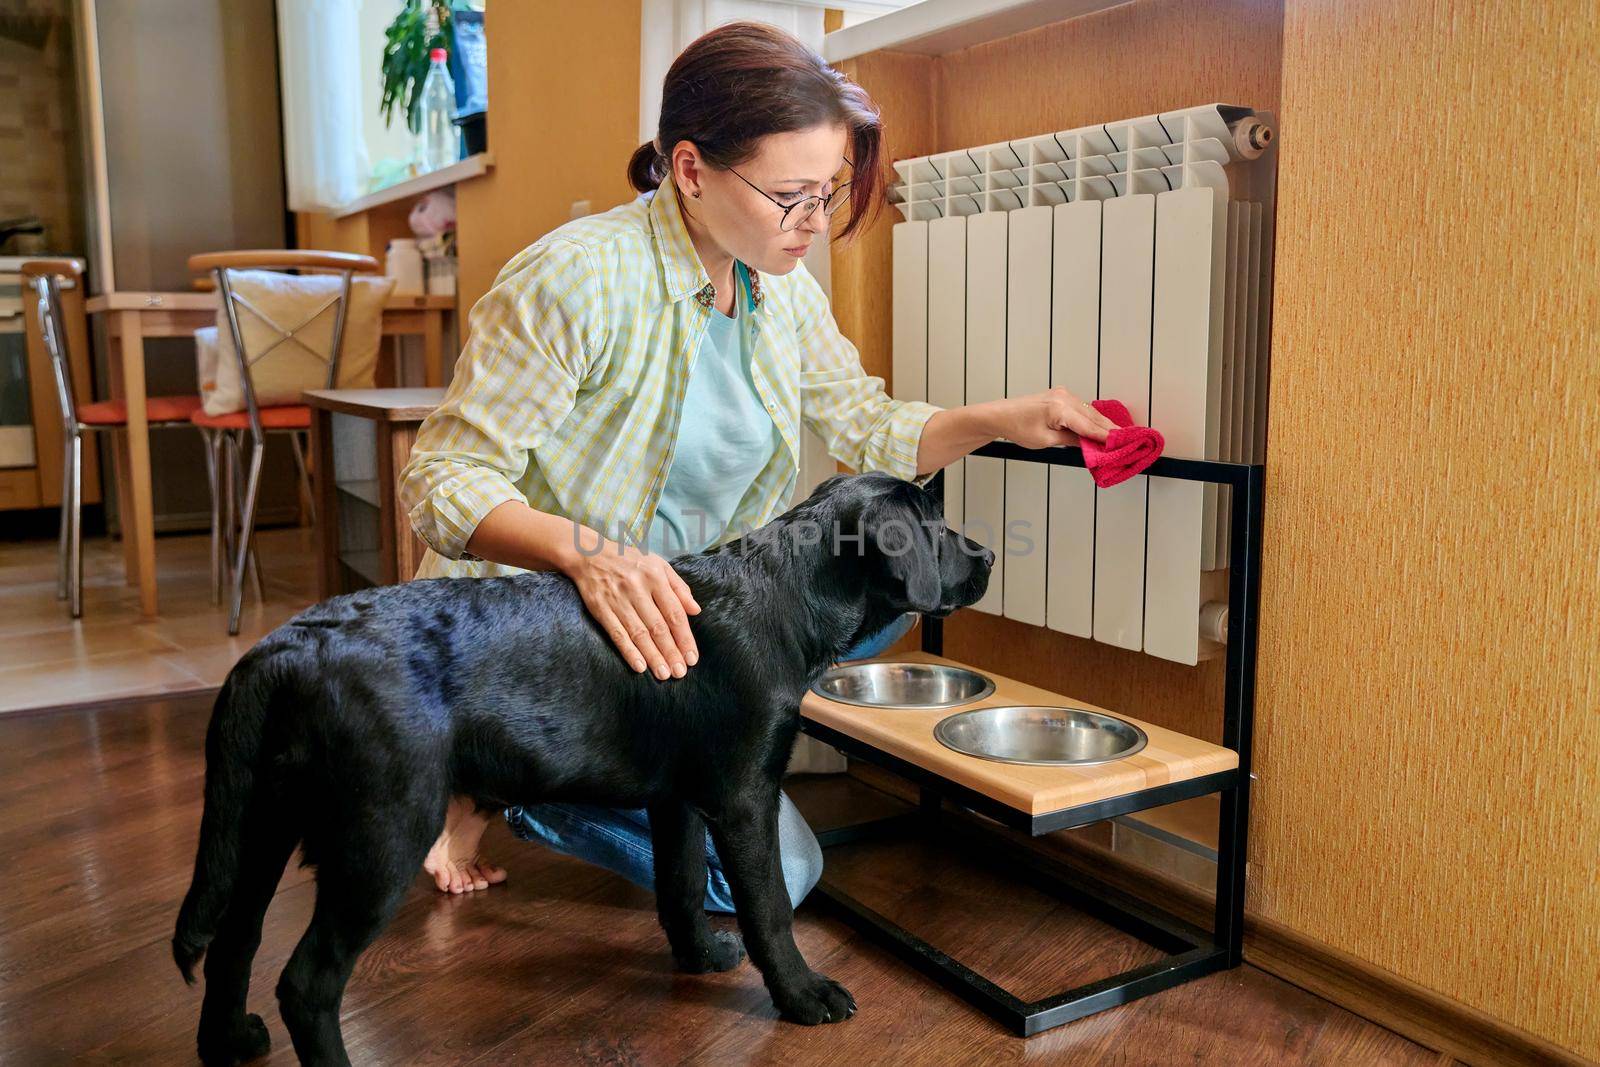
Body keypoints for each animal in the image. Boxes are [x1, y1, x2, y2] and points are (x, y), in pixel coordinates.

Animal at [178, 476, 985, 1067]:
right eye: (939, 527)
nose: (987, 557)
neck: (785, 593)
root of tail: (281, 649)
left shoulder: (678, 800)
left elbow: (680, 886)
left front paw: (697, 957)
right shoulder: (743, 795)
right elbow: (772, 908)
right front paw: (803, 995)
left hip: (264, 820)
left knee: (234, 938)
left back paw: (229, 1041)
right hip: (379, 833)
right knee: (306, 982)